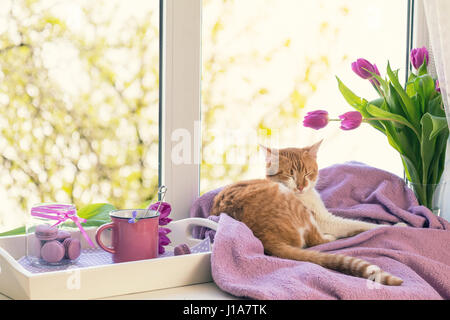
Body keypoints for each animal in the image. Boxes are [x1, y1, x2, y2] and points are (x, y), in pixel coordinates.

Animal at [211, 141, 404, 286]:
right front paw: (397, 225)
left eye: (308, 173)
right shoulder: (325, 219)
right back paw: (331, 238)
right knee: (315, 240)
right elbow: (358, 223)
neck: (305, 195)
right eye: (290, 175)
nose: (301, 186)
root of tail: (263, 236)